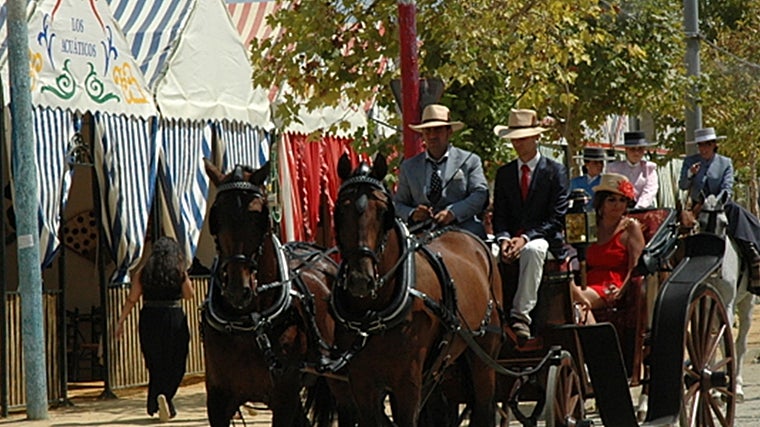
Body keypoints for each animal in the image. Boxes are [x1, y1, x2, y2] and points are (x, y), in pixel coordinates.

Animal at [202, 160, 339, 426]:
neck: (248, 324)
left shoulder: (284, 395)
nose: (238, 290)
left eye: (260, 218)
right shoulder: (217, 398)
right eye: (216, 216)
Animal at [329, 153, 503, 426]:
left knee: (483, 408)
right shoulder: (361, 384)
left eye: (384, 212)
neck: (374, 314)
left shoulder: (407, 383)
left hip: (484, 356)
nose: (360, 279)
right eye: (340, 210)